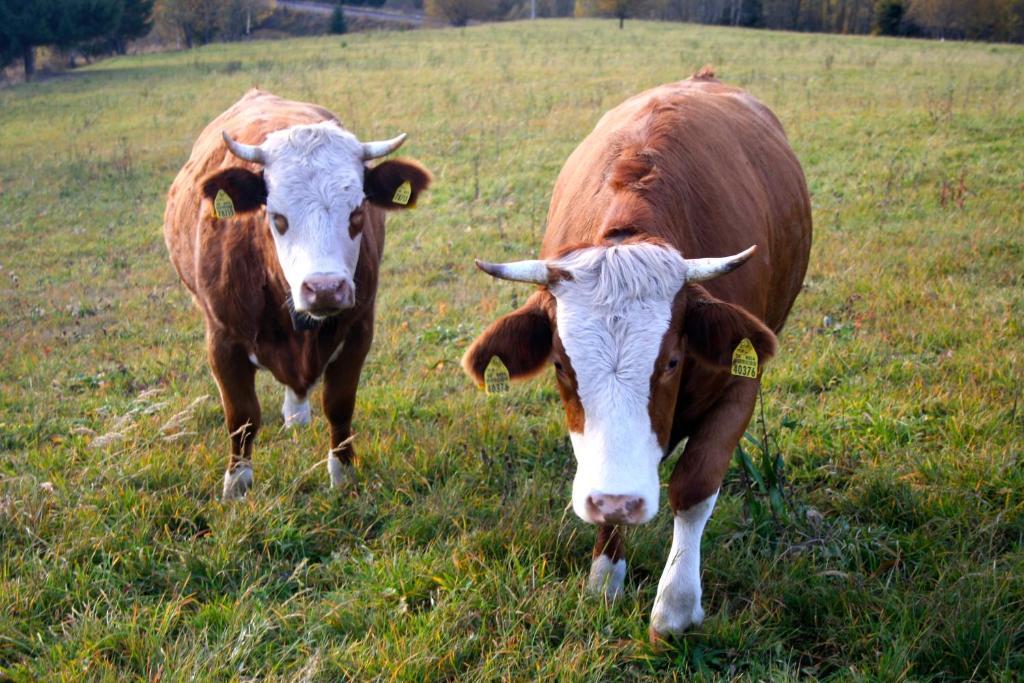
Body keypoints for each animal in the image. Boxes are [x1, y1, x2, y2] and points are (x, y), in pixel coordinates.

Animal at [165, 89, 430, 497]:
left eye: (357, 213)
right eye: (277, 217)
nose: (325, 289)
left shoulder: (359, 329)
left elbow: (339, 404)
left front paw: (342, 473)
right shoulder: (222, 339)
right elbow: (242, 417)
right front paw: (237, 484)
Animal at [462, 72, 806, 638]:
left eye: (671, 361)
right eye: (561, 365)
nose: (617, 499)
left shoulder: (740, 385)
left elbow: (694, 485)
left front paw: (676, 605)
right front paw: (605, 579)